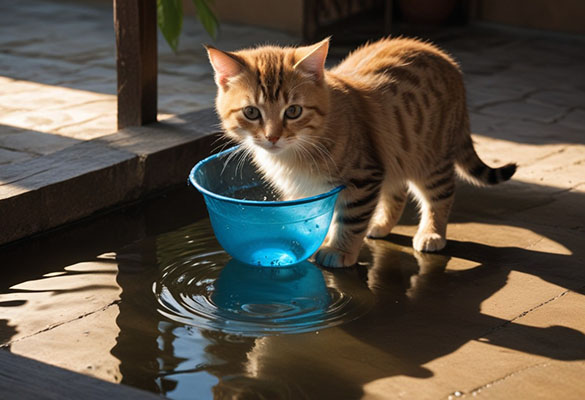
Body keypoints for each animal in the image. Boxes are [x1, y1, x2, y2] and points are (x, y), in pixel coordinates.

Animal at [205, 38, 516, 268]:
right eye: (251, 112)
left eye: (293, 111)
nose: (272, 136)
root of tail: (448, 60)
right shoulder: (307, 190)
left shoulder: (363, 176)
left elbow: (351, 219)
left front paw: (340, 250)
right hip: (395, 153)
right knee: (396, 192)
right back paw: (380, 225)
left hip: (429, 159)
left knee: (441, 194)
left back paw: (432, 233)